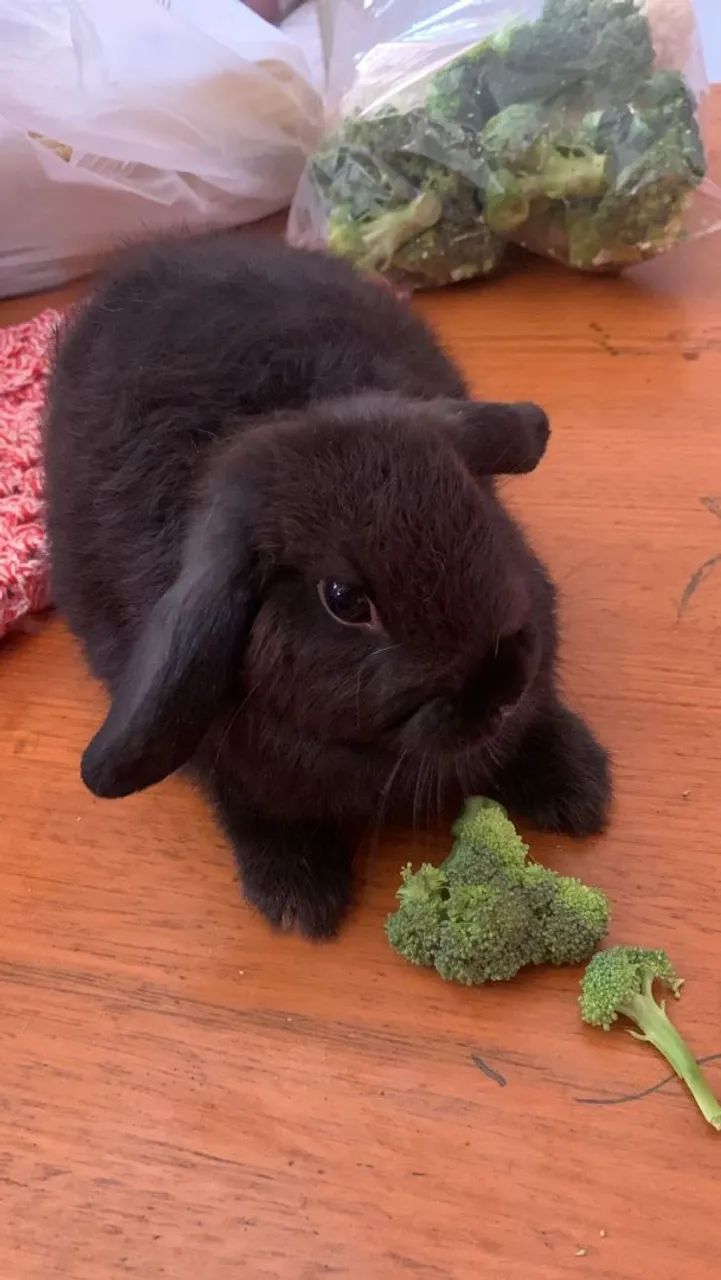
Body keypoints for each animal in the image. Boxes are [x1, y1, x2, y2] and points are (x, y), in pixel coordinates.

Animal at [44, 231, 611, 938]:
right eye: (345, 601)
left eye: (480, 512)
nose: (501, 691)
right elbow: (250, 805)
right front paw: (298, 900)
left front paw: (581, 787)